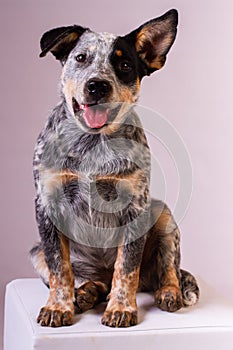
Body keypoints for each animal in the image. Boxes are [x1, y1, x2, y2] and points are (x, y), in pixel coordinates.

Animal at [30, 8, 199, 328]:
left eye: (124, 65)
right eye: (81, 57)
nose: (97, 85)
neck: (92, 143)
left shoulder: (135, 205)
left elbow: (126, 267)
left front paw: (121, 308)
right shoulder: (48, 204)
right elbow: (60, 268)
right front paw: (59, 306)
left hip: (164, 218)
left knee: (168, 269)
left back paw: (168, 293)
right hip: (35, 252)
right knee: (80, 277)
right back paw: (86, 292)